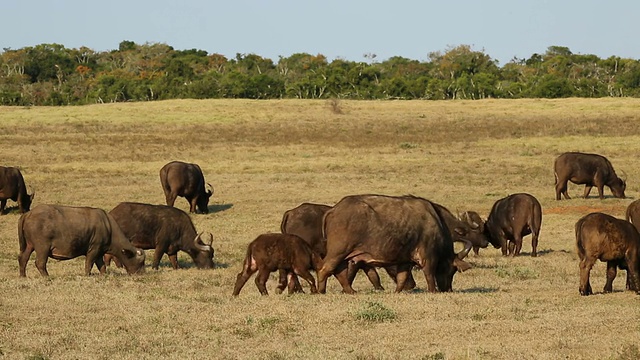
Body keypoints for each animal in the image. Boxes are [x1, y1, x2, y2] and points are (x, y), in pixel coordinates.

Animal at [17, 204, 145, 278]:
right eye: (140, 262)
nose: (142, 274)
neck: (108, 227)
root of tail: (28, 214)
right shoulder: (93, 250)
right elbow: (89, 264)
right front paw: (88, 275)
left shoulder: (99, 252)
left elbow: (102, 266)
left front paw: (103, 275)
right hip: (42, 247)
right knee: (40, 262)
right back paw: (47, 277)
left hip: (29, 246)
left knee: (23, 258)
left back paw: (23, 276)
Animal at [318, 195, 472, 294]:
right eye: (452, 270)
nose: (447, 289)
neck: (436, 221)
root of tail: (334, 210)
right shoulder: (428, 256)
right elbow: (429, 274)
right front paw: (433, 291)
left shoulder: (406, 261)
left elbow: (402, 277)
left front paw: (397, 291)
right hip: (338, 252)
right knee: (324, 269)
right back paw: (321, 291)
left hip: (345, 256)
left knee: (340, 272)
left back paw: (350, 291)